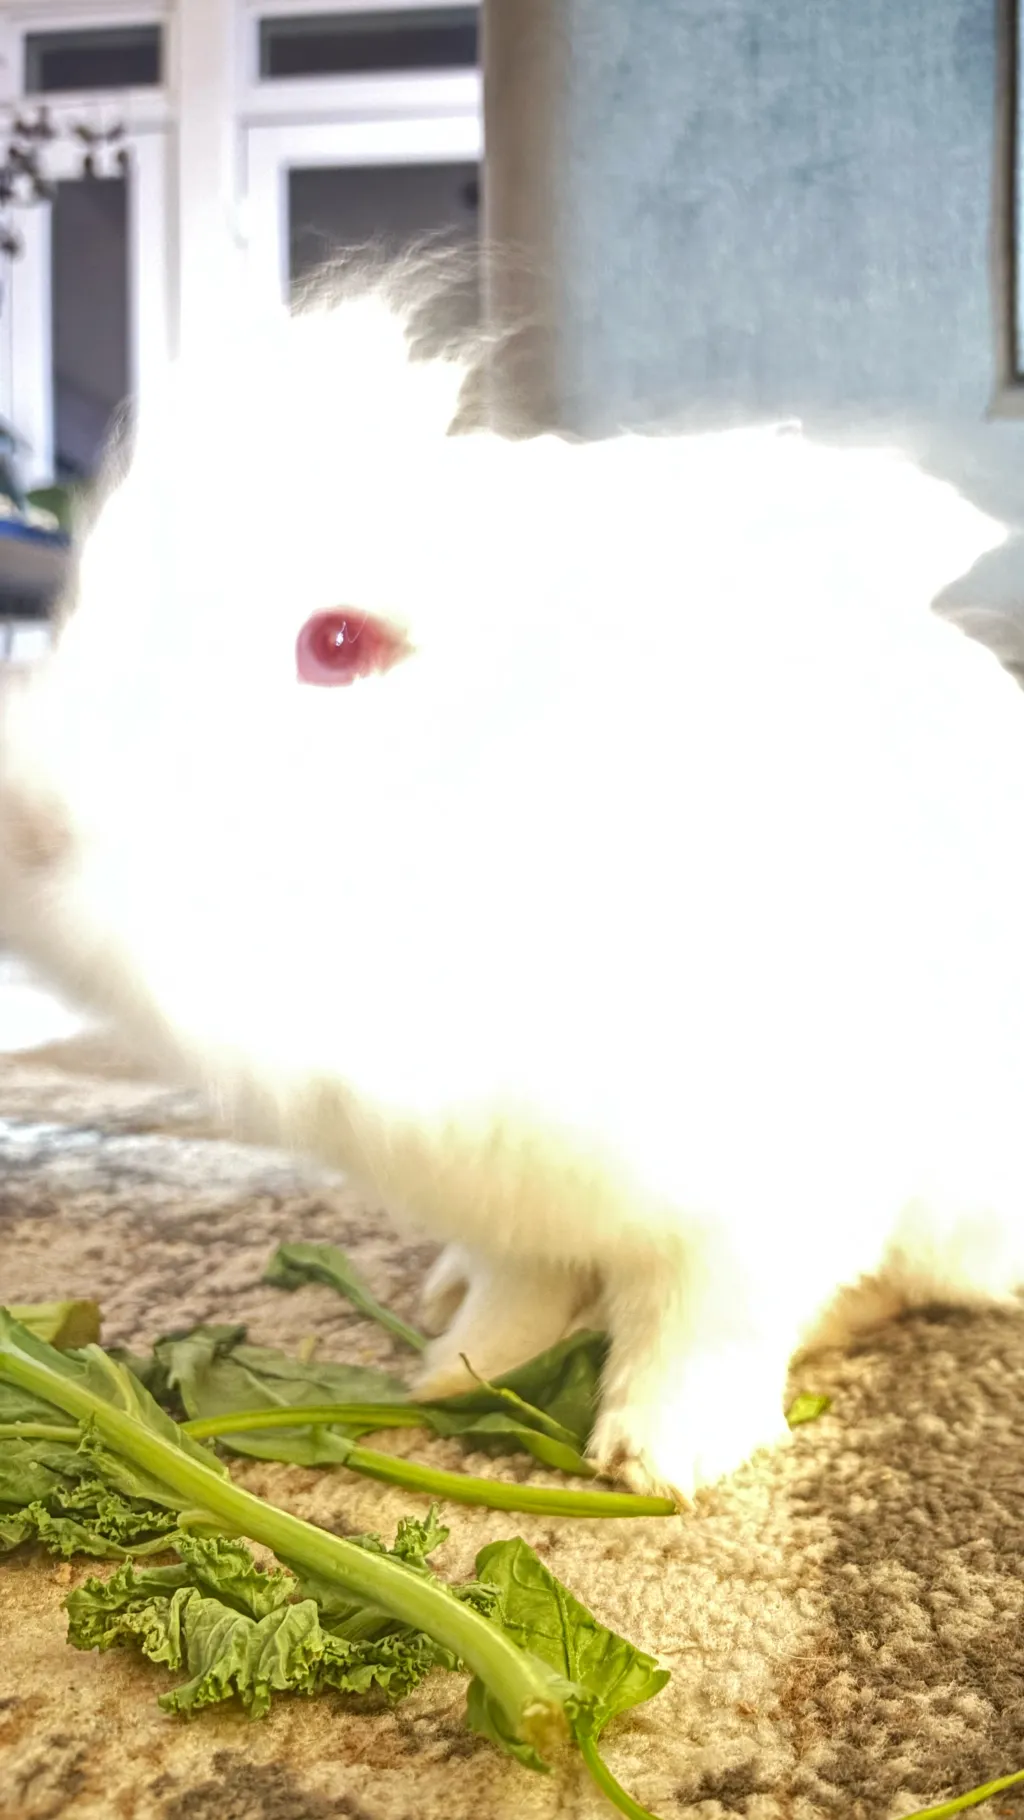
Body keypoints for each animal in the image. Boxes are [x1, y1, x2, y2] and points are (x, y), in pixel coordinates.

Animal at [4, 259, 1024, 1504]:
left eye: (337, 641)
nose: (26, 821)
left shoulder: (764, 1199)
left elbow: (705, 1323)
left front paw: (662, 1460)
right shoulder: (503, 1203)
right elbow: (518, 1295)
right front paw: (456, 1375)